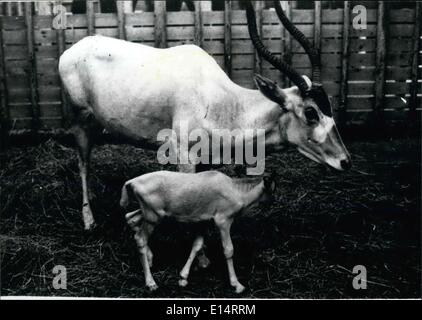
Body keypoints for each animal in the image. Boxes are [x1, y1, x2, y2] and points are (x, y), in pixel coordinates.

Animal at [58, 1, 350, 264]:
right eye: (311, 112)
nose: (345, 161)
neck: (222, 101)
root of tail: (71, 52)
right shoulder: (183, 156)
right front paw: (201, 259)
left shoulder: (206, 158)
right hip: (81, 120)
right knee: (83, 163)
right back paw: (89, 220)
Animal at [120, 171, 276, 294]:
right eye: (271, 189)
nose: (273, 202)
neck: (237, 191)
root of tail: (131, 182)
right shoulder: (223, 220)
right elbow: (228, 250)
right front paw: (237, 285)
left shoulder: (204, 221)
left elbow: (197, 245)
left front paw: (183, 278)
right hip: (153, 216)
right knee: (140, 238)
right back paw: (151, 282)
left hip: (148, 213)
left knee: (130, 218)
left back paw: (150, 257)